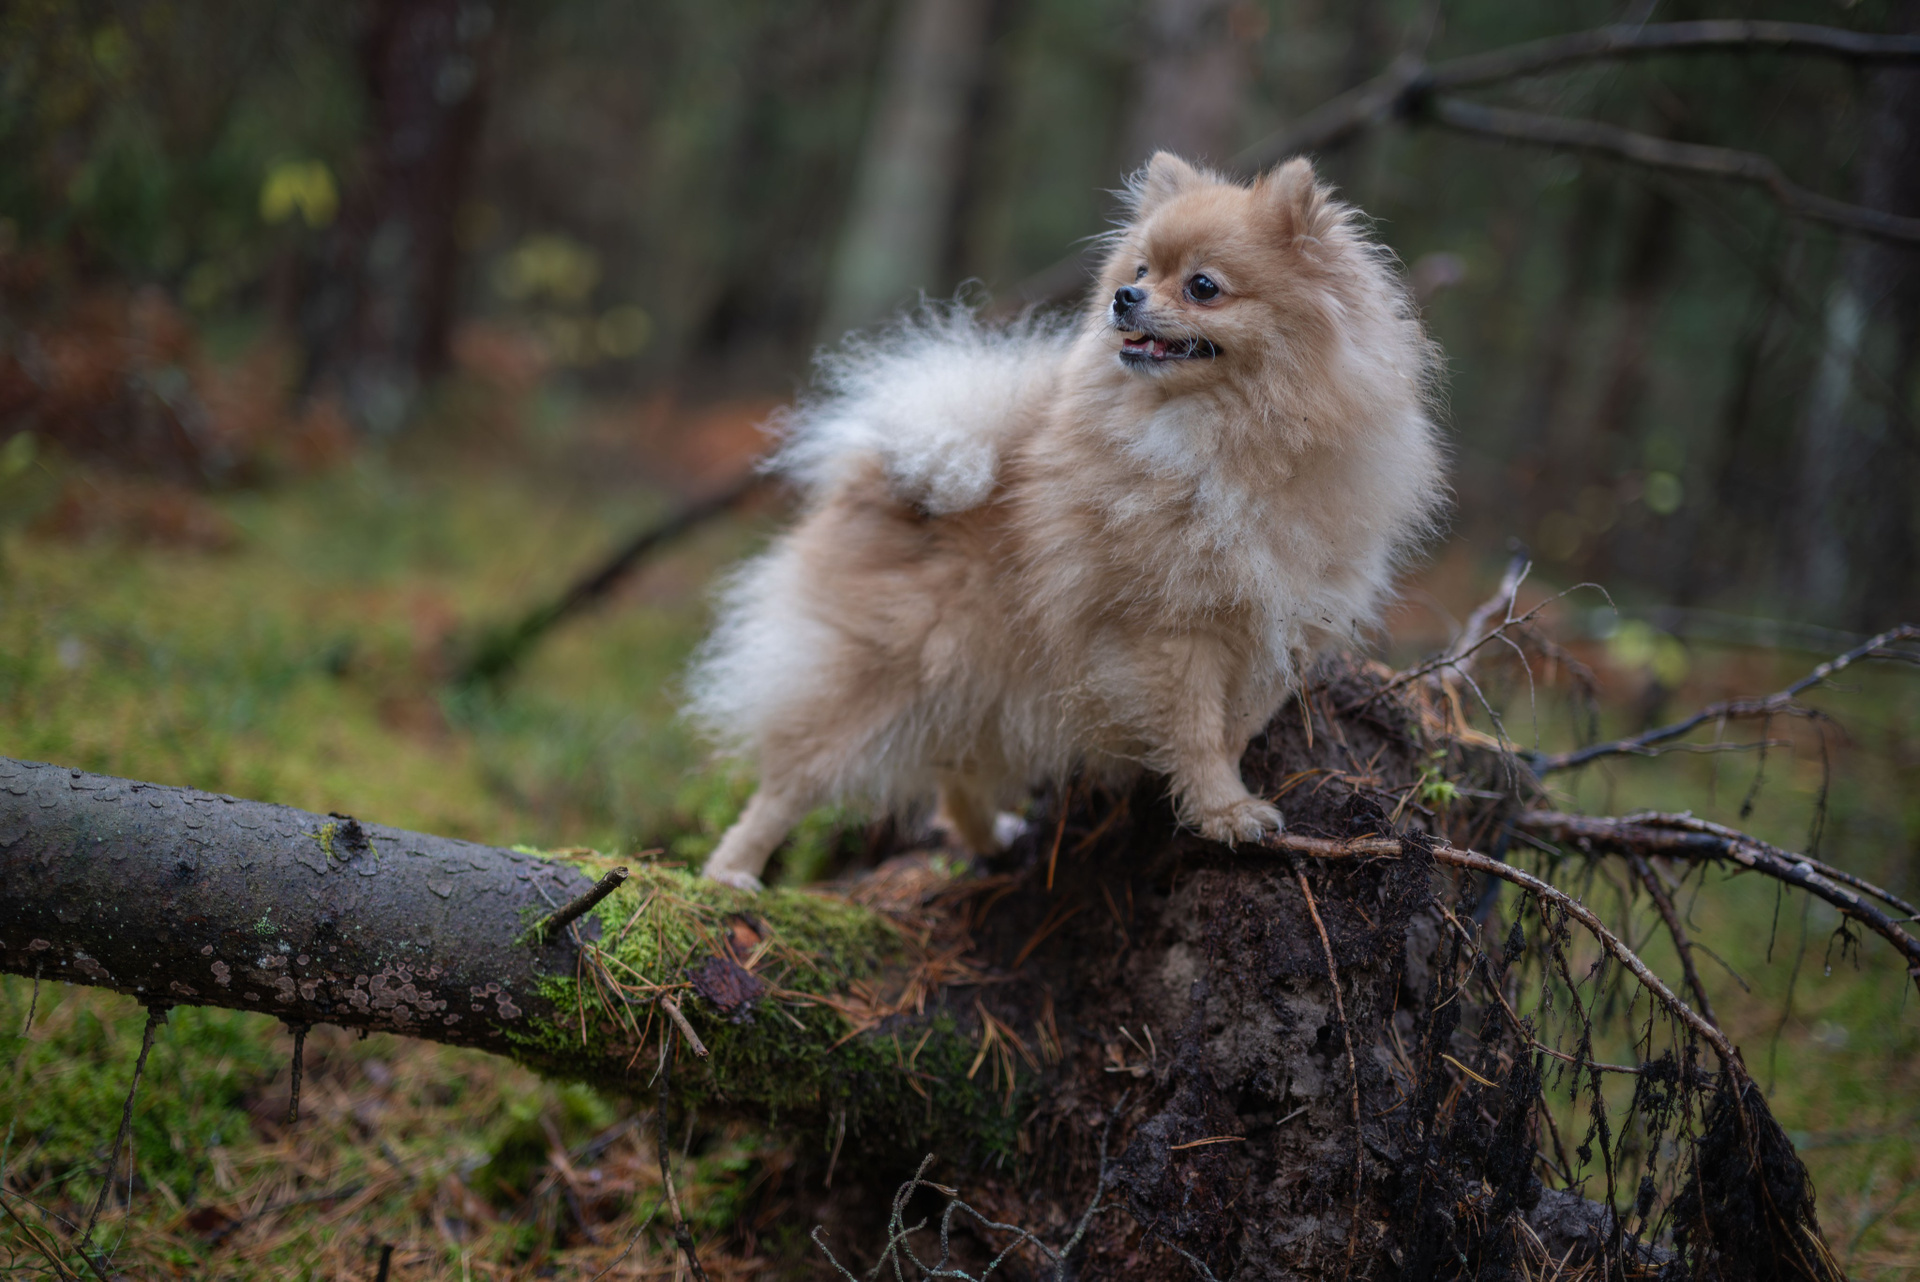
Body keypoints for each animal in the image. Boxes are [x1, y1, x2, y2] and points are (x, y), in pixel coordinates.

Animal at [687, 152, 1445, 890]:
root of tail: (888, 478)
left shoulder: (1277, 626)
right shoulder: (1173, 631)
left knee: (955, 779)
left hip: (980, 680)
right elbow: (1198, 730)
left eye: (1203, 286)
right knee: (792, 781)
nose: (1124, 298)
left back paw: (993, 840)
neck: (1226, 441)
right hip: (869, 676)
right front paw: (1225, 811)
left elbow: (1236, 726)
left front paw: (1222, 800)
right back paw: (731, 872)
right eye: (1140, 271)